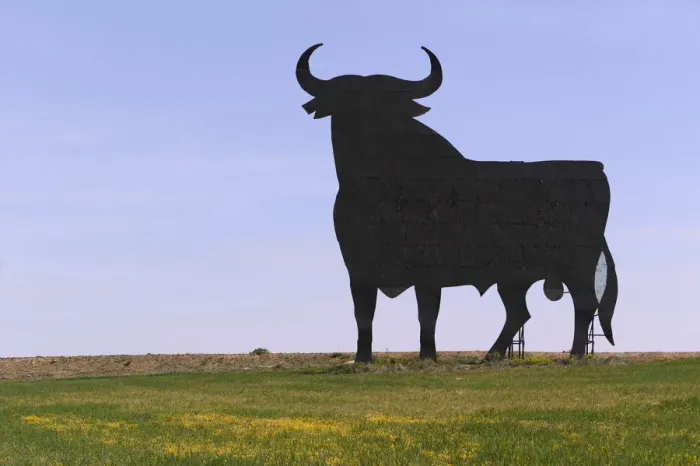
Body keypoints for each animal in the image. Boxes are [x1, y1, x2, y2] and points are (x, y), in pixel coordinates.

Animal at [296, 43, 618, 363]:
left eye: (388, 104)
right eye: (346, 102)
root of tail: (597, 169)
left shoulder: (428, 268)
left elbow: (427, 314)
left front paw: (427, 356)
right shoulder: (359, 269)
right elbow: (364, 314)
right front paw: (363, 358)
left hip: (576, 264)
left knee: (583, 304)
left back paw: (574, 355)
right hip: (514, 277)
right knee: (520, 312)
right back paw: (491, 355)